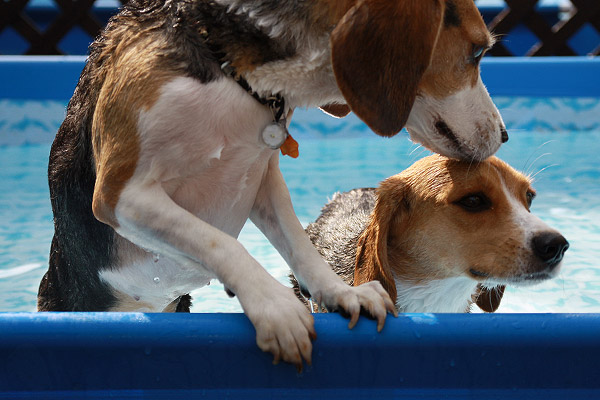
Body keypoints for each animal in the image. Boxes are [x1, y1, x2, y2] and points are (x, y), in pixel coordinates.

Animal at [38, 0, 506, 368]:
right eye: (477, 52)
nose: (504, 135)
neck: (230, 69)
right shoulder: (121, 194)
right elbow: (222, 244)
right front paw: (275, 308)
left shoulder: (263, 178)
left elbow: (300, 247)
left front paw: (341, 293)